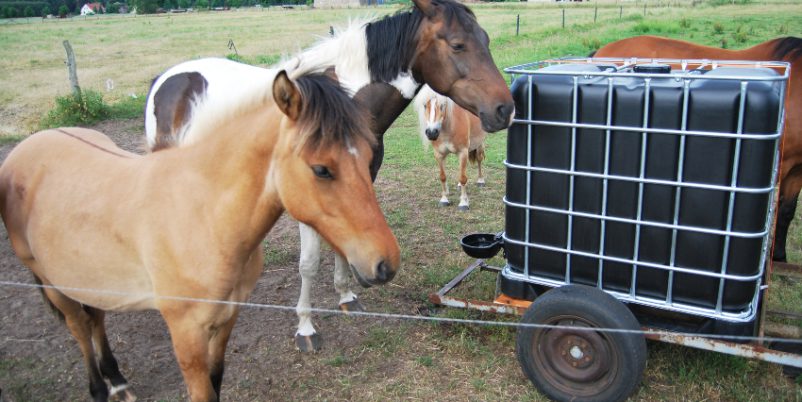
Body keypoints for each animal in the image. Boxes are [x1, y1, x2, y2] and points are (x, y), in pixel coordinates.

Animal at [0, 72, 400, 402]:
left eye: (369, 156)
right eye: (321, 169)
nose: (386, 263)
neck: (203, 214)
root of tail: (27, 147)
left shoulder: (226, 319)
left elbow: (216, 379)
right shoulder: (186, 332)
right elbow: (201, 390)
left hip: (89, 276)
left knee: (96, 318)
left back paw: (118, 381)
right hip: (52, 281)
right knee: (80, 327)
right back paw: (100, 389)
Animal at [144, 0, 512, 350]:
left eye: (486, 40)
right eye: (458, 45)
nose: (505, 109)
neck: (348, 101)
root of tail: (168, 76)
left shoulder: (355, 188)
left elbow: (343, 246)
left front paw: (347, 297)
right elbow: (309, 263)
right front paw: (306, 328)